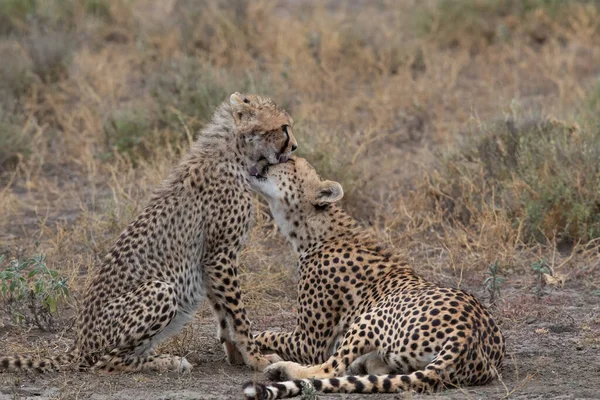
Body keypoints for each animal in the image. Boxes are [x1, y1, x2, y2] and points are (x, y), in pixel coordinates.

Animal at [0, 92, 298, 374]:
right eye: (284, 127)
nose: (295, 146)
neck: (235, 152)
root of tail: (79, 343)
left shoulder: (209, 261)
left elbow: (224, 314)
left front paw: (237, 356)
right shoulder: (220, 255)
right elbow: (238, 314)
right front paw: (256, 358)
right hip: (160, 289)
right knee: (105, 363)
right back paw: (168, 362)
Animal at [243, 156, 502, 396]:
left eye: (290, 163)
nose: (264, 162)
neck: (316, 232)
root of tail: (468, 335)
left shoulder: (309, 342)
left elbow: (266, 334)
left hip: (369, 317)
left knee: (329, 369)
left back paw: (281, 369)